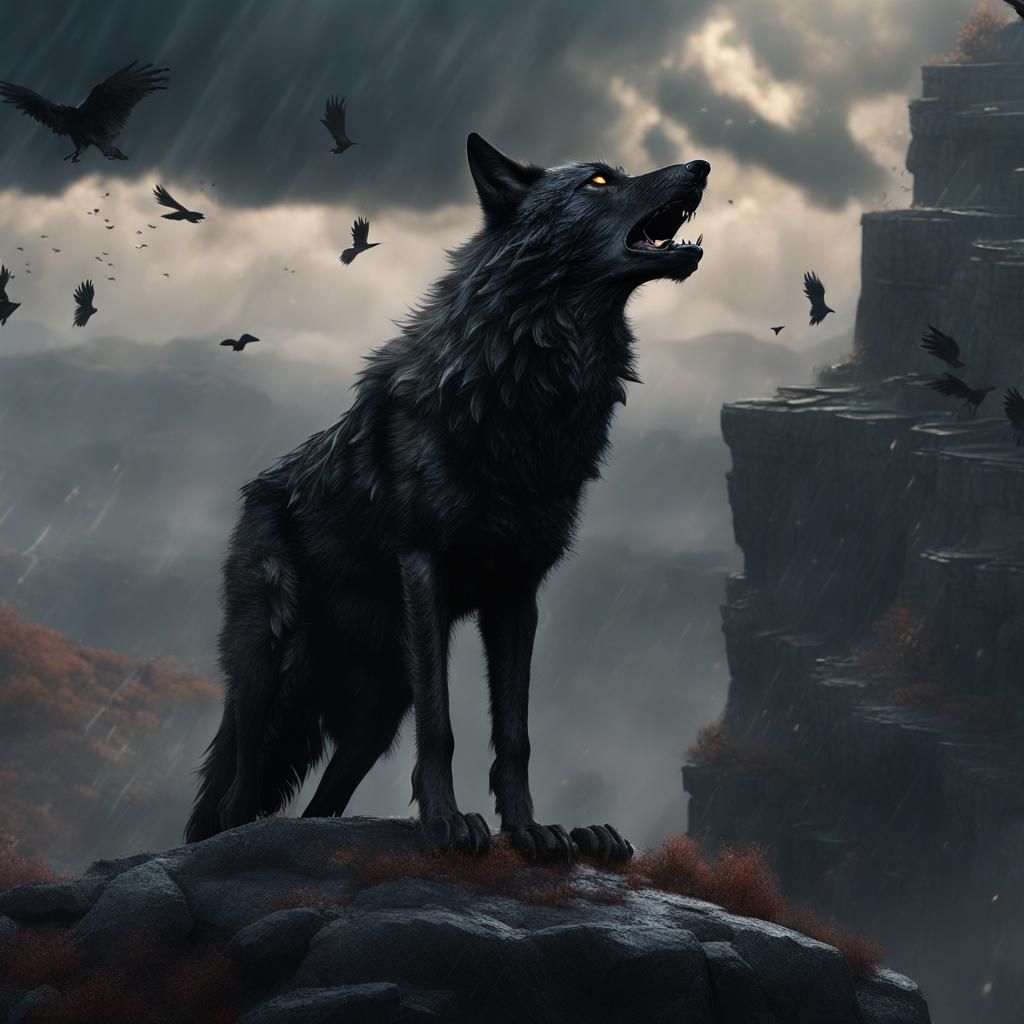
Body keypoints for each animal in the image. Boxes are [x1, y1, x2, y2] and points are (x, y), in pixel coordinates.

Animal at [185, 133, 709, 863]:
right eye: (601, 181)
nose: (702, 167)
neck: (531, 382)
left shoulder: (518, 589)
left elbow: (514, 732)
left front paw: (532, 831)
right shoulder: (423, 564)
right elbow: (443, 724)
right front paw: (446, 822)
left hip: (377, 712)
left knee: (321, 805)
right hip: (271, 677)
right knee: (236, 797)